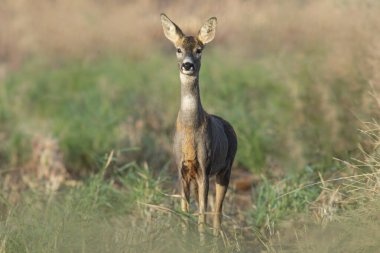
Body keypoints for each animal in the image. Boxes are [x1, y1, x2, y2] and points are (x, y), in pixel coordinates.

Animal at [160, 13, 238, 235]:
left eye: (199, 50)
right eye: (178, 49)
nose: (187, 65)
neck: (189, 128)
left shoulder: (205, 165)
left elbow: (203, 214)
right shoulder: (182, 168)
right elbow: (185, 211)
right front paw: (185, 237)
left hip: (226, 168)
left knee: (217, 212)